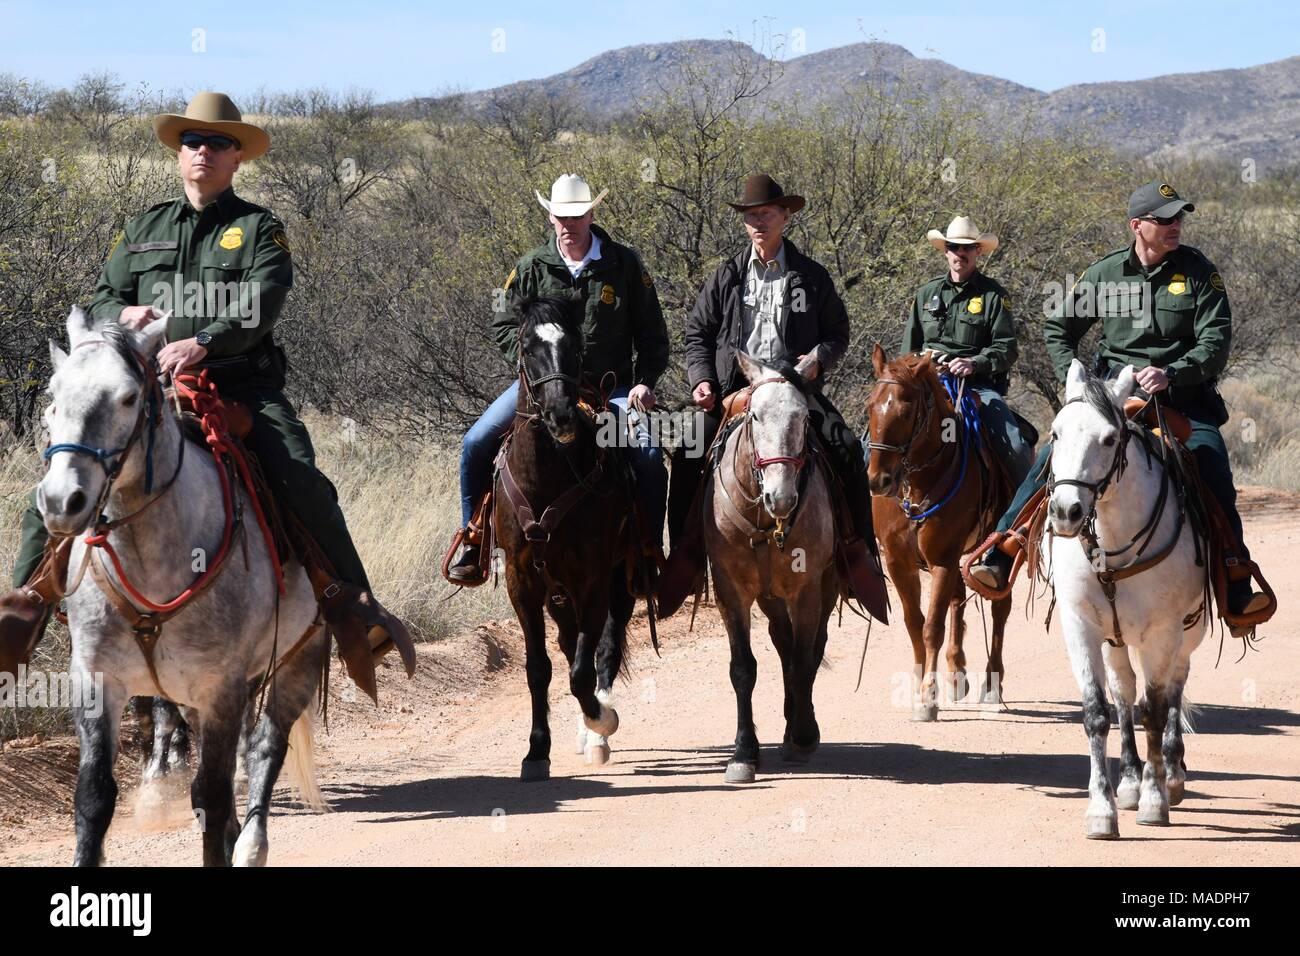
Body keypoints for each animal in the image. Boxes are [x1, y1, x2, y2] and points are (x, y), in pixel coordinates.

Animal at [41, 308, 325, 868]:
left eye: (129, 397)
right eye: (54, 396)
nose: (62, 500)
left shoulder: (221, 689)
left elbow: (210, 795)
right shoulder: (97, 681)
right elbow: (94, 798)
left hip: (297, 662)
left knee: (265, 748)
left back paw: (252, 846)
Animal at [491, 295, 639, 780]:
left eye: (575, 345)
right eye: (527, 346)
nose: (560, 414)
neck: (545, 480)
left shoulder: (592, 578)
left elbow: (582, 672)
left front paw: (602, 720)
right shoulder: (522, 581)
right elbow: (539, 668)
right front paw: (537, 751)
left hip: (618, 580)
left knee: (602, 649)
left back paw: (597, 731)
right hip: (557, 593)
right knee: (569, 643)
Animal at [707, 353, 837, 785]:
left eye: (803, 417)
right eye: (755, 416)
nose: (780, 498)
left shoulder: (807, 590)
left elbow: (802, 661)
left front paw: (803, 735)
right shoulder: (731, 592)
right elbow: (743, 669)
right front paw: (744, 754)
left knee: (809, 650)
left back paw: (799, 727)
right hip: (769, 597)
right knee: (782, 641)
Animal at [868, 348, 1019, 723]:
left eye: (906, 411)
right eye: (869, 406)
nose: (878, 480)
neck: (918, 483)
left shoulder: (941, 560)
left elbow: (931, 627)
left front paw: (927, 698)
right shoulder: (900, 563)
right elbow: (914, 624)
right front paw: (923, 683)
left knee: (999, 608)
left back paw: (991, 686)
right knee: (957, 601)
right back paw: (956, 673)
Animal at [1040, 361, 1201, 842]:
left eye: (1110, 438)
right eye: (1055, 433)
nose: (1066, 512)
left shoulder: (1163, 631)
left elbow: (1156, 710)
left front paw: (1154, 799)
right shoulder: (1081, 625)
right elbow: (1098, 712)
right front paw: (1102, 809)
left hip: (1187, 632)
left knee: (1172, 688)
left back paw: (1171, 775)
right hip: (1116, 638)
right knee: (1124, 691)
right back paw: (1129, 780)